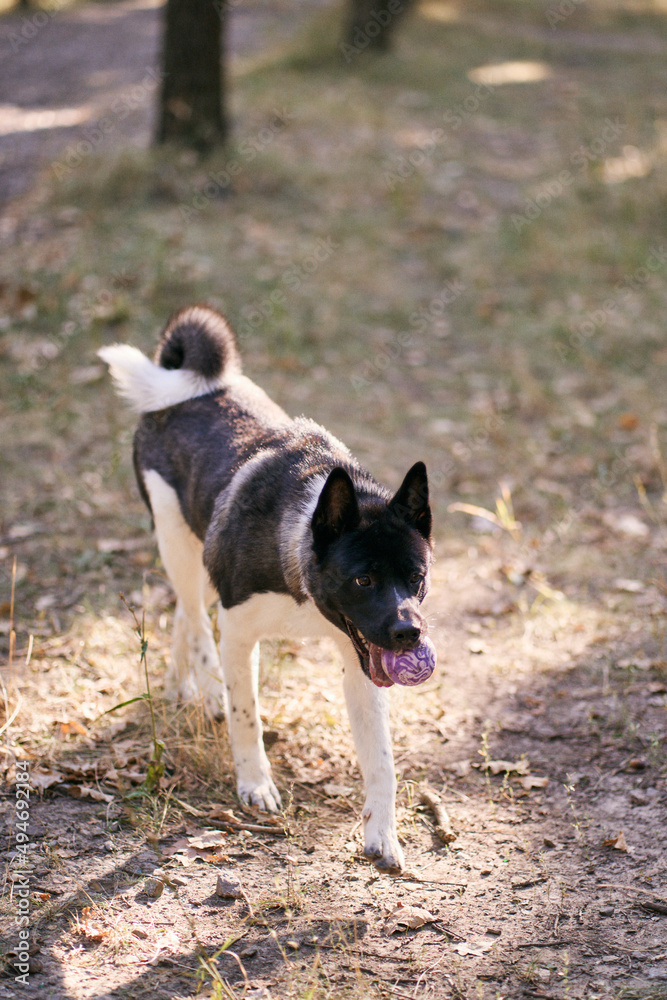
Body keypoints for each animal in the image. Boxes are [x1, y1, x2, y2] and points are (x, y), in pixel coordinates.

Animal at [99, 302, 434, 868]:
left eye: (417, 578)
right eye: (363, 578)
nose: (409, 635)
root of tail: (189, 388)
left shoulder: (359, 660)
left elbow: (381, 761)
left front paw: (383, 835)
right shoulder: (240, 634)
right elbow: (245, 713)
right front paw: (254, 783)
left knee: (186, 612)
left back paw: (179, 685)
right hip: (176, 540)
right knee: (194, 615)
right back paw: (206, 688)